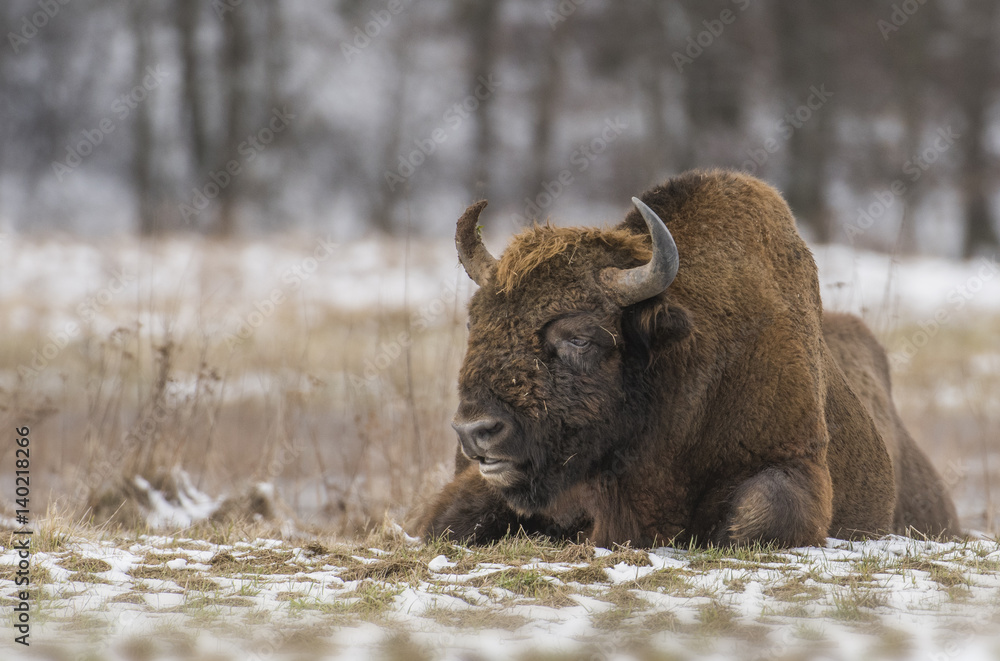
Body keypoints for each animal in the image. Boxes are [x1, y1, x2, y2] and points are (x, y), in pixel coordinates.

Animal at [420, 169, 959, 548]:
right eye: (474, 322)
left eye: (579, 337)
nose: (475, 430)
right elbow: (446, 521)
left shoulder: (795, 458)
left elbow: (762, 514)